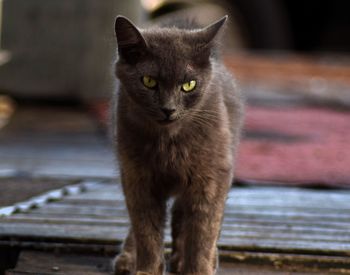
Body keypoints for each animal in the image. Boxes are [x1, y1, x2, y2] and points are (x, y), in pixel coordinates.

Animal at [112, 14, 243, 275]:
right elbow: (146, 230)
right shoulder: (137, 177)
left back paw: (186, 260)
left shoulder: (211, 178)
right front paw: (147, 270)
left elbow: (203, 232)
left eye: (189, 85)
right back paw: (128, 258)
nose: (168, 109)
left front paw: (198, 269)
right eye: (149, 81)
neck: (169, 143)